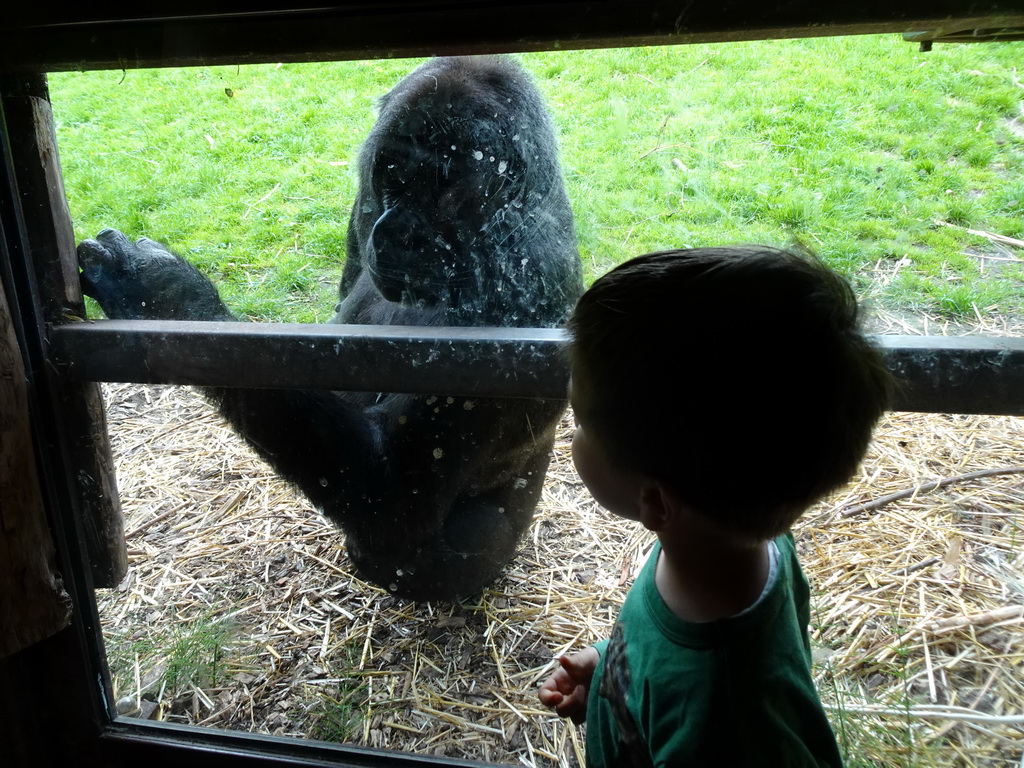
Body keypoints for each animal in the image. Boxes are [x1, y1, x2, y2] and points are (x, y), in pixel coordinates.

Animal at [77, 57, 585, 606]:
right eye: (393, 173)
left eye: (443, 184)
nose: (395, 232)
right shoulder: (361, 211)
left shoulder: (524, 284)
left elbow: (391, 497)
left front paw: (161, 294)